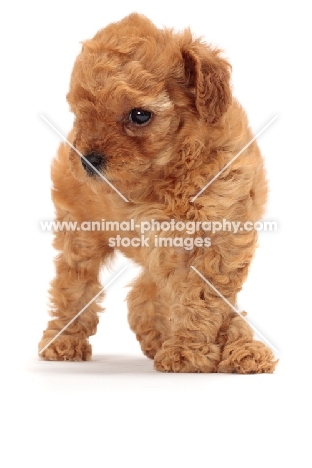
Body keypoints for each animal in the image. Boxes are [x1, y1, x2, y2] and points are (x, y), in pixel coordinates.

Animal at [37, 12, 276, 374]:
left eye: (140, 115)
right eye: (82, 115)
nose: (87, 160)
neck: (172, 173)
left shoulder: (223, 237)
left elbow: (210, 298)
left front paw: (236, 347)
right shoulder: (164, 244)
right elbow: (196, 300)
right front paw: (190, 352)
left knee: (144, 291)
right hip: (80, 232)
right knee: (75, 283)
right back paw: (63, 341)